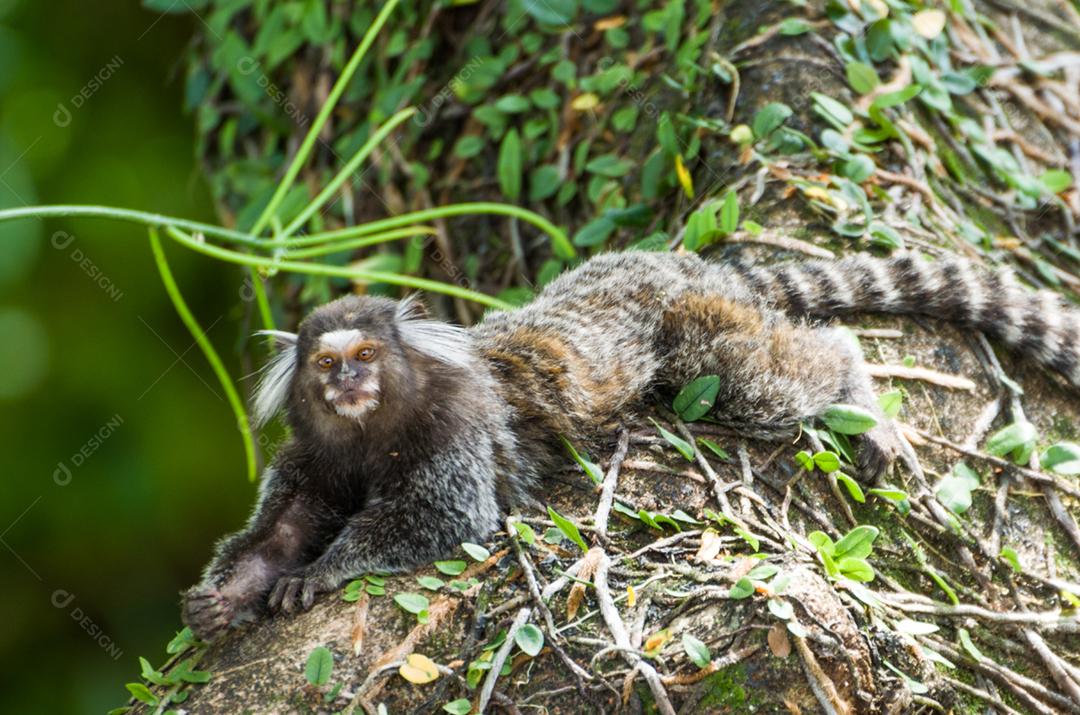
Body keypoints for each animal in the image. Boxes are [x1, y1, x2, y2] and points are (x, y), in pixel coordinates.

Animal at [182, 249, 1080, 639]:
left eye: (366, 355)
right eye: (326, 364)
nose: (345, 383)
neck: (371, 433)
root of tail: (700, 266)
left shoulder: (454, 437)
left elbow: (438, 518)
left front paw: (324, 571)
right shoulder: (312, 458)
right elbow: (280, 531)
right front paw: (230, 594)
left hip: (696, 331)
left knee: (770, 372)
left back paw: (860, 395)